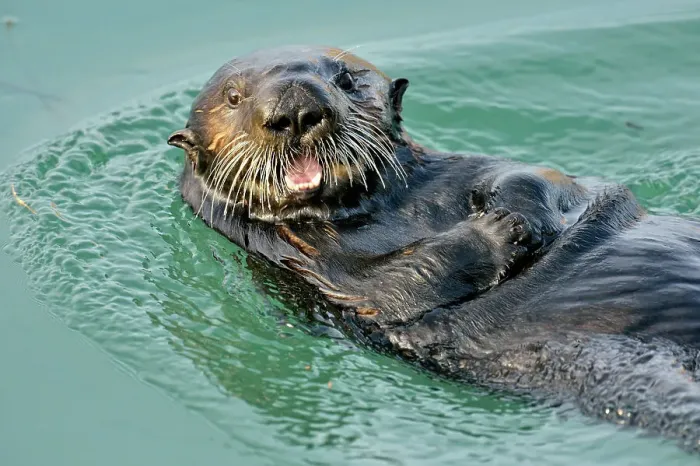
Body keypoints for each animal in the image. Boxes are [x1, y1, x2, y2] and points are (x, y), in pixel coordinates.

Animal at [167, 46, 700, 450]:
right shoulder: (306, 266)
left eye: (345, 79)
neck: (371, 211)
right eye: (234, 96)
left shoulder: (465, 167)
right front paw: (499, 229)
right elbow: (396, 288)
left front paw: (516, 214)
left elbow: (535, 176)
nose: (295, 109)